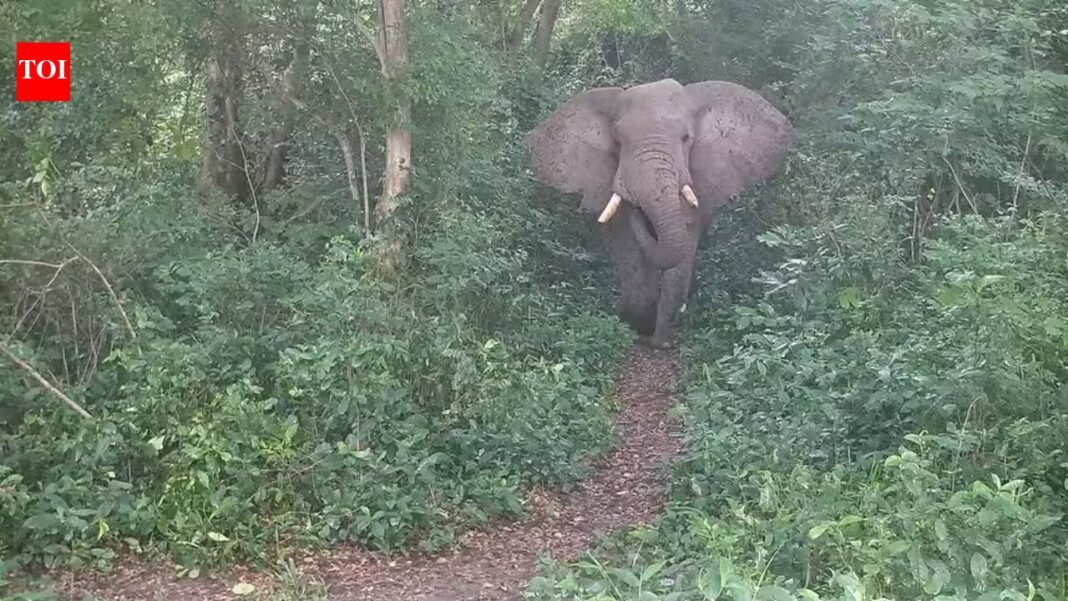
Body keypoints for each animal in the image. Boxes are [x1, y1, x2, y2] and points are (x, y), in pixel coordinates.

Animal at [527, 78, 795, 348]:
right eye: (618, 142)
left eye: (686, 138)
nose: (637, 209)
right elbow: (627, 244)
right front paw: (638, 322)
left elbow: (683, 242)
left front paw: (661, 341)